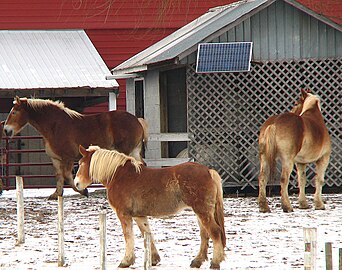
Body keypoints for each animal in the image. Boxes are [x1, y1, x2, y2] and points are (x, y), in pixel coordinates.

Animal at [3, 96, 148, 199]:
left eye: (14, 112)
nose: (6, 130)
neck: (55, 126)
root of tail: (137, 120)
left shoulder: (68, 158)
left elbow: (68, 177)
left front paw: (83, 191)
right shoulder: (55, 159)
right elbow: (59, 176)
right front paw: (56, 194)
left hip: (126, 151)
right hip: (134, 151)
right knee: (141, 165)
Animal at [73, 146, 226, 268]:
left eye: (81, 164)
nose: (76, 183)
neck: (118, 176)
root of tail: (209, 171)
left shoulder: (124, 215)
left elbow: (128, 236)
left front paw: (126, 261)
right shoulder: (139, 216)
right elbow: (147, 234)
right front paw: (154, 259)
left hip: (202, 211)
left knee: (215, 232)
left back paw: (215, 262)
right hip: (200, 212)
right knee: (204, 234)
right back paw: (197, 261)